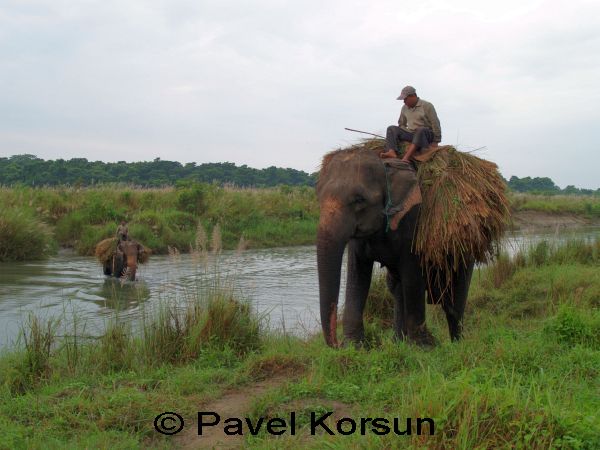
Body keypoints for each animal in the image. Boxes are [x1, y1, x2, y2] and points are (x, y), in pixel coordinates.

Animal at [316, 148, 476, 348]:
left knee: (453, 301)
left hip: (464, 252)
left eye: (359, 200)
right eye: (318, 196)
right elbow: (357, 275)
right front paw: (355, 347)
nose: (336, 344)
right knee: (398, 290)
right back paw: (399, 342)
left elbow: (413, 275)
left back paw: (456, 344)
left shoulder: (413, 221)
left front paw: (425, 347)